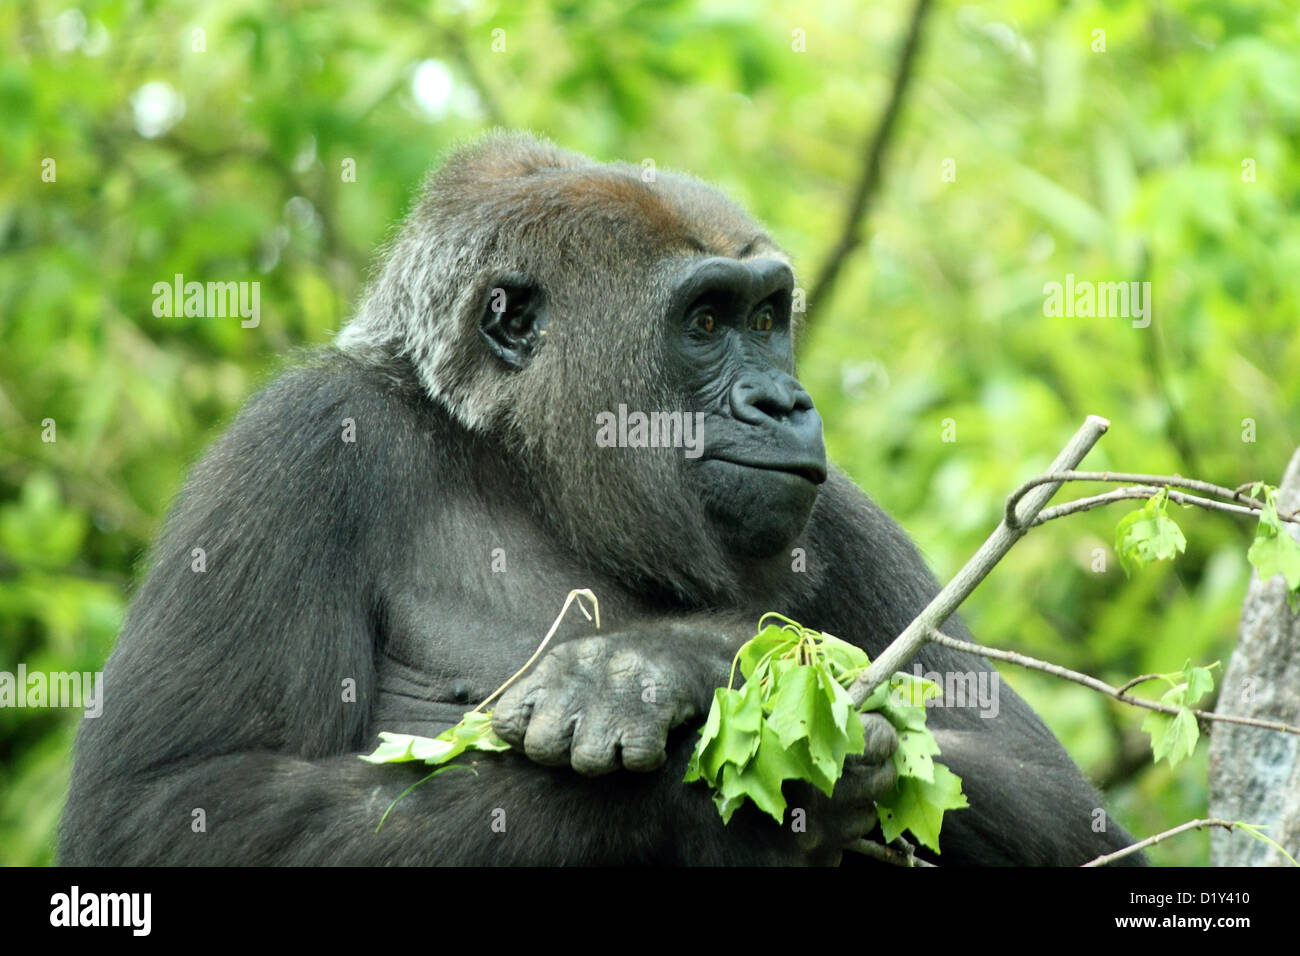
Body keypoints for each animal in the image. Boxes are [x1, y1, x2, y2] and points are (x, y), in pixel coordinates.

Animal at [61, 134, 1138, 868]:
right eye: (704, 322)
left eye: (766, 316)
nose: (785, 402)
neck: (515, 462)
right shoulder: (302, 444)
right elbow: (171, 806)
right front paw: (693, 797)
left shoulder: (839, 514)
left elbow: (1061, 807)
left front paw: (662, 664)